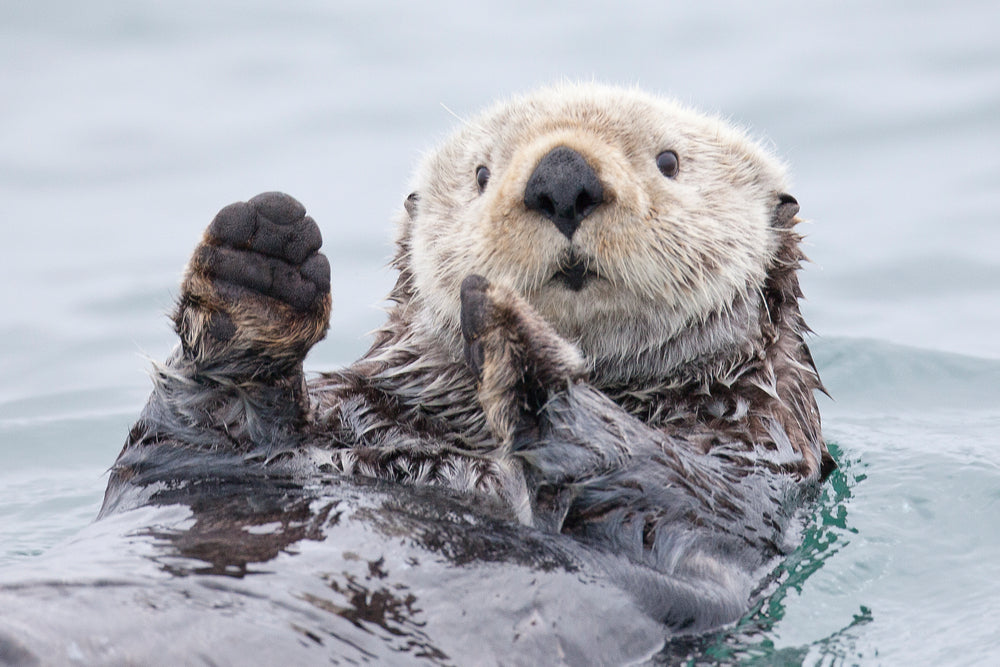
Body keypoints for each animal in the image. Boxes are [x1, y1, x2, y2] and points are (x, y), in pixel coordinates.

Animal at [103, 83, 833, 635]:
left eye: (669, 161)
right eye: (481, 174)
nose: (562, 176)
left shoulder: (748, 470)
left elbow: (665, 477)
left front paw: (517, 340)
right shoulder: (236, 451)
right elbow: (193, 433)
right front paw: (260, 262)